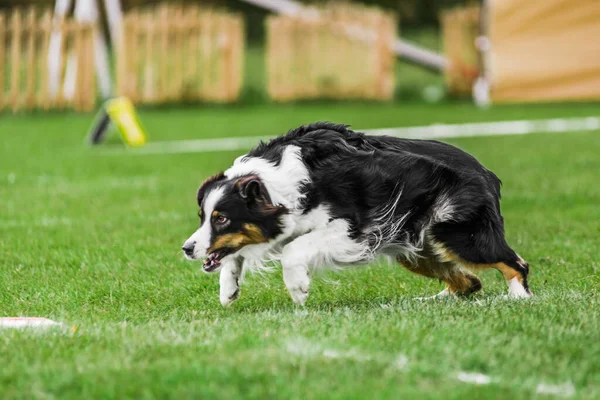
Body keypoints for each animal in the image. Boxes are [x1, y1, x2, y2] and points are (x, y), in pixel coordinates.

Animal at [180, 122, 532, 306]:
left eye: (222, 218)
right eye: (203, 216)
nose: (186, 248)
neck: (275, 183)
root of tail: (486, 173)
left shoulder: (352, 229)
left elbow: (293, 249)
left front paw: (298, 288)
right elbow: (234, 255)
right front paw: (228, 290)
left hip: (457, 234)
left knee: (515, 263)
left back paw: (519, 298)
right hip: (414, 247)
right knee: (469, 282)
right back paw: (429, 301)